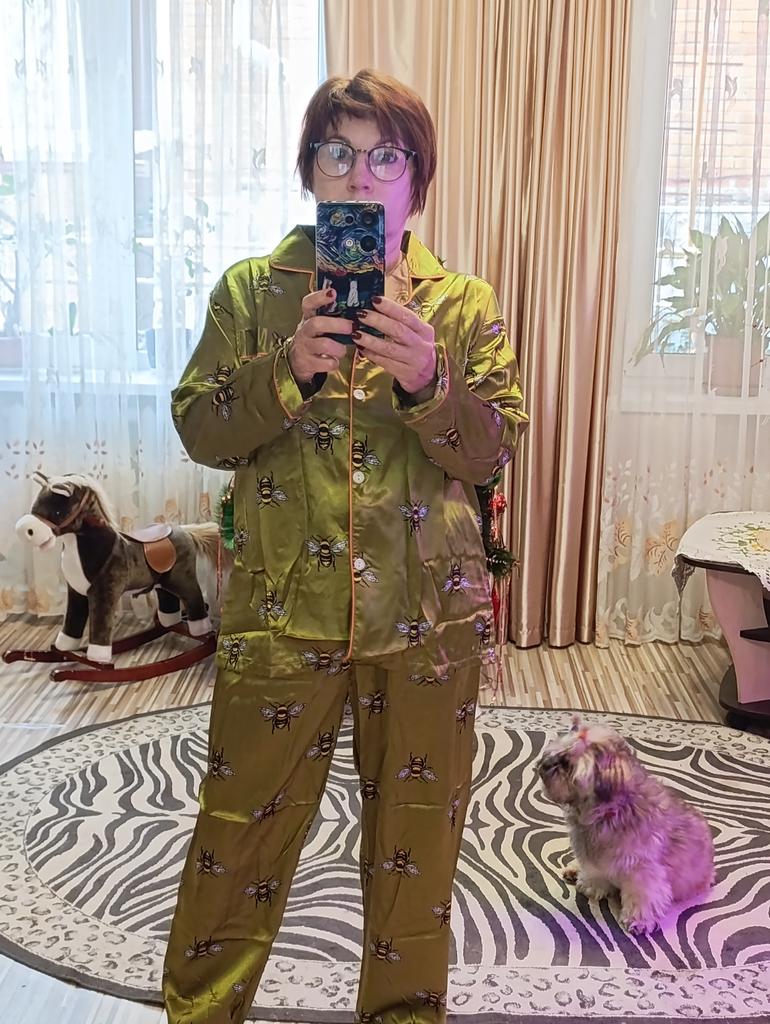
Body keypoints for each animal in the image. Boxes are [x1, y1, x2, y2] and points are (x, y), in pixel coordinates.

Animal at [537, 715, 714, 935]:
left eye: (566, 764)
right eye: (558, 750)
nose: (544, 763)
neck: (609, 811)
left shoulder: (643, 870)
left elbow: (643, 896)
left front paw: (639, 920)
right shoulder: (594, 858)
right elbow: (594, 871)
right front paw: (591, 885)